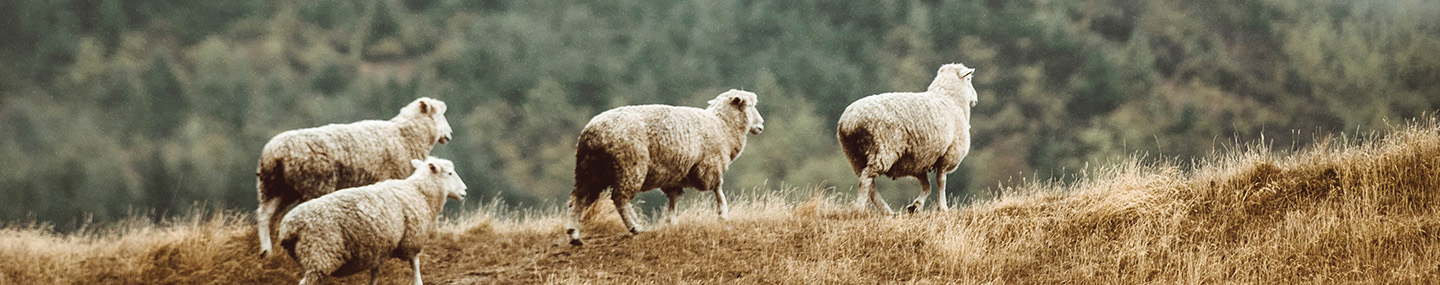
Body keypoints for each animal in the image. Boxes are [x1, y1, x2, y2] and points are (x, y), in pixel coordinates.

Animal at [253, 97, 452, 256]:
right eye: (439, 115)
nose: (449, 134)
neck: (405, 136)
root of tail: (275, 153)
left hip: (274, 187)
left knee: (265, 215)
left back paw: (267, 251)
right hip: (314, 184)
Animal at [275, 156, 466, 283]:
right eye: (450, 173)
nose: (464, 191)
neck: (420, 192)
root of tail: (289, 227)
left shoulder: (380, 249)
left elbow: (375, 275)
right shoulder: (412, 240)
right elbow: (416, 267)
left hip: (309, 258)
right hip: (319, 254)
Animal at [561, 89, 766, 244]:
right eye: (750, 105)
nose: (761, 125)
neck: (722, 126)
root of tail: (592, 132)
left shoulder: (675, 176)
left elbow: (674, 198)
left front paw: (671, 222)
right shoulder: (710, 165)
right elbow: (718, 188)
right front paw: (723, 213)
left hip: (589, 170)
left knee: (580, 198)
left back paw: (574, 234)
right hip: (630, 167)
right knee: (620, 199)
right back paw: (635, 227)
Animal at [835, 62, 979, 213]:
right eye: (969, 79)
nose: (975, 99)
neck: (951, 100)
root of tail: (850, 121)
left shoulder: (919, 161)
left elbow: (927, 186)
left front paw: (915, 206)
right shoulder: (948, 155)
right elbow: (941, 182)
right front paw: (943, 207)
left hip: (854, 155)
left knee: (870, 185)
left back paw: (887, 211)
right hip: (883, 149)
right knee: (866, 179)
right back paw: (860, 208)